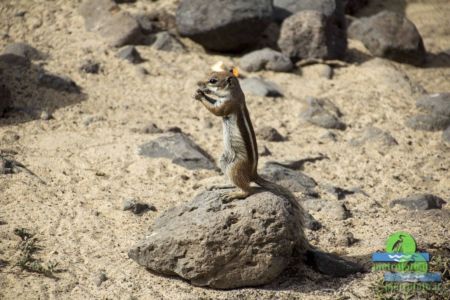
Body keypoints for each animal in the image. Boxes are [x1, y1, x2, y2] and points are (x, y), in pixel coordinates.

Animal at [195, 68, 308, 248]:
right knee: (236, 181)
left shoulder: (228, 104)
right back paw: (221, 185)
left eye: (213, 80)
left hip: (235, 166)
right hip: (224, 159)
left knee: (247, 189)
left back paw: (234, 195)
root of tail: (253, 173)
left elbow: (216, 111)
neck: (234, 91)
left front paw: (201, 95)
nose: (199, 83)